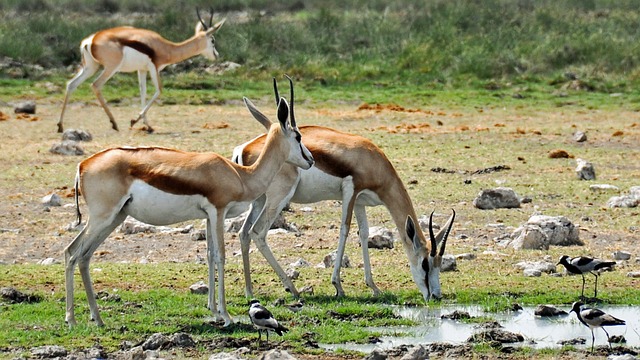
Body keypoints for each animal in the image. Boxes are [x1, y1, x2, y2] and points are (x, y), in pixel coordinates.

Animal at [57, 10, 226, 133]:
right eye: (213, 40)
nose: (217, 55)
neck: (166, 47)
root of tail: (90, 40)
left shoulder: (141, 69)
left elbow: (143, 92)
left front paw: (147, 125)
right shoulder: (154, 67)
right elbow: (159, 90)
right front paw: (135, 121)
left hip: (90, 67)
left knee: (71, 85)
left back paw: (60, 126)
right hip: (110, 68)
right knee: (96, 85)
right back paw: (114, 124)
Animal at [63, 78, 314, 326]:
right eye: (298, 136)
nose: (311, 160)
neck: (241, 175)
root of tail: (83, 165)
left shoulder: (208, 216)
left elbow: (210, 255)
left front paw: (214, 311)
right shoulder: (218, 211)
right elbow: (221, 256)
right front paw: (226, 315)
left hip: (116, 217)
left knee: (81, 255)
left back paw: (97, 319)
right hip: (102, 218)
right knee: (73, 253)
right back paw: (72, 320)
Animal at [234, 81, 456, 300]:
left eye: (439, 265)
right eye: (425, 263)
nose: (435, 295)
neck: (372, 161)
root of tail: (244, 149)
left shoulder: (360, 201)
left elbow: (364, 233)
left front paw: (374, 287)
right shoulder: (351, 191)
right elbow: (345, 229)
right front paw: (338, 286)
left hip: (259, 200)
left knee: (244, 233)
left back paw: (249, 291)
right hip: (278, 198)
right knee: (258, 232)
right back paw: (292, 289)